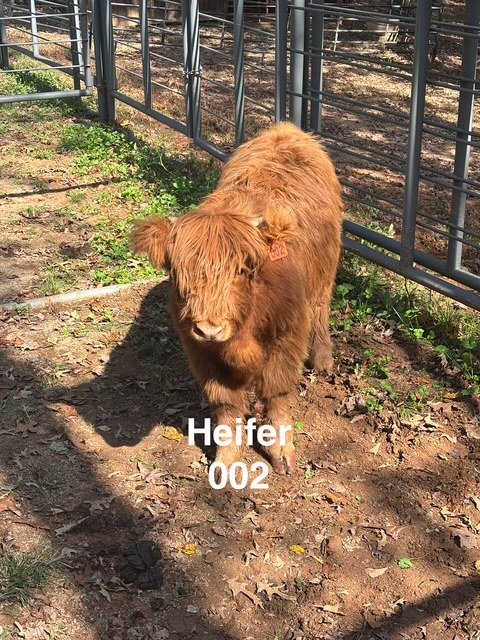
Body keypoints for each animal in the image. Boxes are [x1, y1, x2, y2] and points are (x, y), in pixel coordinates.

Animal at [133, 122, 344, 475]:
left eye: (244, 270)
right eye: (177, 272)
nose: (210, 329)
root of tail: (287, 129)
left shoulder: (287, 338)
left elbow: (277, 393)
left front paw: (281, 451)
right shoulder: (199, 351)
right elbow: (226, 404)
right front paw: (226, 459)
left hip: (324, 277)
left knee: (321, 310)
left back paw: (324, 358)